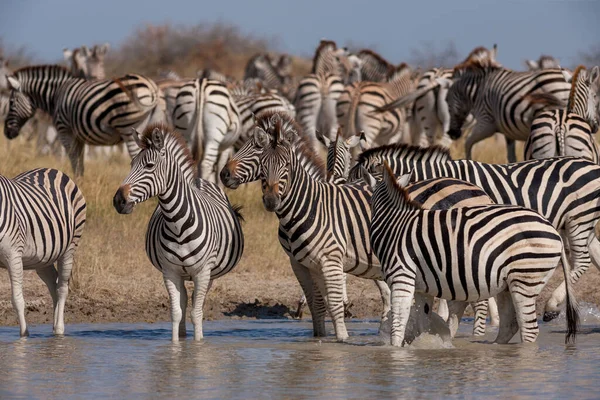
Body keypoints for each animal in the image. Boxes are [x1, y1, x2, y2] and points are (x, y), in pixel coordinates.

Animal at [0, 167, 86, 336]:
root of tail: (53, 170)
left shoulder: (13, 255)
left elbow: (17, 299)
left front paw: (24, 335)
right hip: (43, 257)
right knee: (53, 283)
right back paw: (53, 327)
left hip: (70, 248)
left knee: (62, 288)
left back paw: (59, 330)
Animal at [4, 65, 163, 175]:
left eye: (11, 102)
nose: (6, 132)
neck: (56, 94)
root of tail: (151, 87)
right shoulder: (79, 137)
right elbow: (80, 163)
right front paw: (80, 182)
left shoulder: (65, 131)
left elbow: (74, 161)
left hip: (129, 128)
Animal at [112, 124, 244, 340]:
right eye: (131, 164)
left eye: (149, 166)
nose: (118, 201)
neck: (178, 224)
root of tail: (201, 180)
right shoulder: (170, 272)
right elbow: (176, 312)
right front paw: (176, 346)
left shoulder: (203, 272)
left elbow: (196, 314)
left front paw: (198, 345)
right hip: (182, 274)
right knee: (183, 299)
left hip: (209, 273)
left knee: (197, 300)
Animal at [350, 142, 600, 324]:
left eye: (356, 181)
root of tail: (592, 165)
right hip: (582, 222)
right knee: (595, 256)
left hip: (578, 218)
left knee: (582, 261)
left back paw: (551, 306)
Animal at [360, 164, 576, 346]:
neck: (394, 225)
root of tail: (553, 229)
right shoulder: (423, 287)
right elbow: (422, 320)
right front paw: (425, 344)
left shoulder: (402, 276)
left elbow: (399, 319)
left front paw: (395, 352)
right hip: (508, 284)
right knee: (510, 324)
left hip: (525, 278)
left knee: (529, 329)